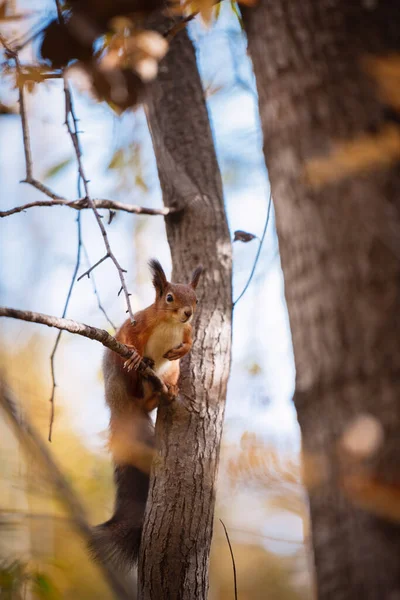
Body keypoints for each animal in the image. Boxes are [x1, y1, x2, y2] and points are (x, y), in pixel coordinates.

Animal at [92, 258, 202, 568]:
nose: (188, 314)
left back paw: (166, 391)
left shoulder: (187, 331)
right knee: (131, 379)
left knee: (154, 396)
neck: (170, 323)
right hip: (117, 376)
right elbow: (127, 336)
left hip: (172, 373)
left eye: (196, 299)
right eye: (169, 298)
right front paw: (135, 354)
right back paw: (142, 368)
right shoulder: (138, 323)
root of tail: (120, 407)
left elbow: (190, 340)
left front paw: (182, 349)